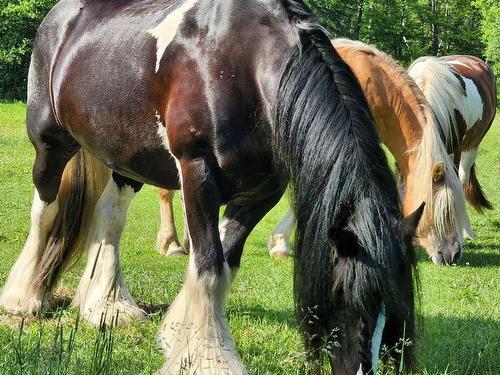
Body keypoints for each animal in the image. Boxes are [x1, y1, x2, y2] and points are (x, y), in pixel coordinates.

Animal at [0, 1, 422, 374]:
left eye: (397, 309)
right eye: (343, 296)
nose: (362, 369)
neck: (245, 62)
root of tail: (59, 17)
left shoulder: (262, 192)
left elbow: (226, 259)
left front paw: (178, 333)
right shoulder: (197, 171)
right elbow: (208, 265)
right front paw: (209, 360)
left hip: (126, 158)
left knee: (109, 219)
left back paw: (109, 306)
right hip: (50, 143)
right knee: (45, 210)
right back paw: (23, 298)